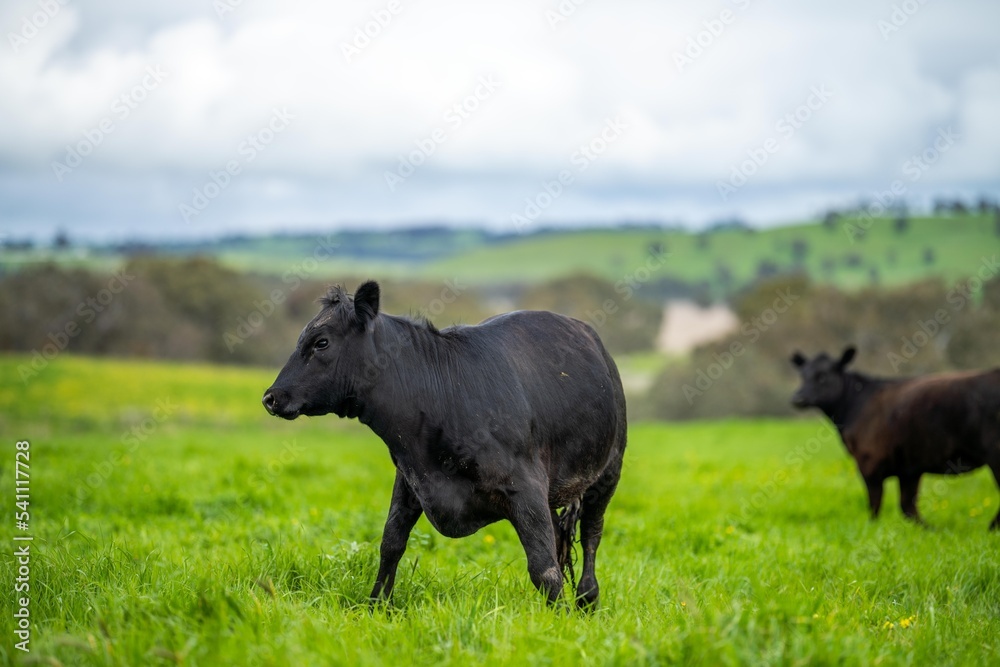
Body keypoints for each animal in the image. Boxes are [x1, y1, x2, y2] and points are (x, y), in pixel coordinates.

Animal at [262, 281, 627, 607]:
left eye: (321, 342)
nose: (271, 397)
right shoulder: (410, 479)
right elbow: (390, 544)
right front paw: (376, 606)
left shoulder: (524, 487)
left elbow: (544, 568)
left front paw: (558, 620)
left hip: (608, 472)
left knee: (592, 532)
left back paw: (587, 598)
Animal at [790, 346, 1000, 529]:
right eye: (803, 375)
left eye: (822, 377)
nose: (798, 398)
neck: (854, 405)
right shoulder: (909, 469)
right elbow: (908, 507)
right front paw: (929, 530)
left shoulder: (869, 462)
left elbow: (875, 504)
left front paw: (871, 529)